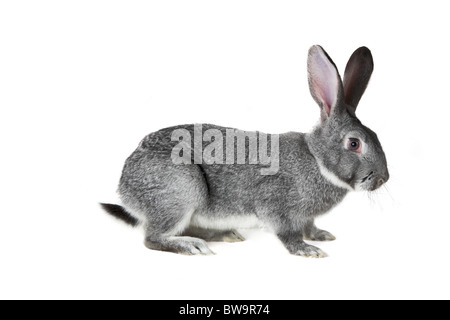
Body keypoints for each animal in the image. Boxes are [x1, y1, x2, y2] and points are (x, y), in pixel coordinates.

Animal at [100, 45, 388, 258]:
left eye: (375, 135)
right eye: (354, 144)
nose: (383, 178)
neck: (317, 160)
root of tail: (124, 187)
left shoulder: (305, 217)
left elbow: (309, 225)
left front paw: (321, 236)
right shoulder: (276, 207)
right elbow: (287, 233)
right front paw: (307, 250)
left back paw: (224, 235)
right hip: (182, 189)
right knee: (152, 238)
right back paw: (191, 246)